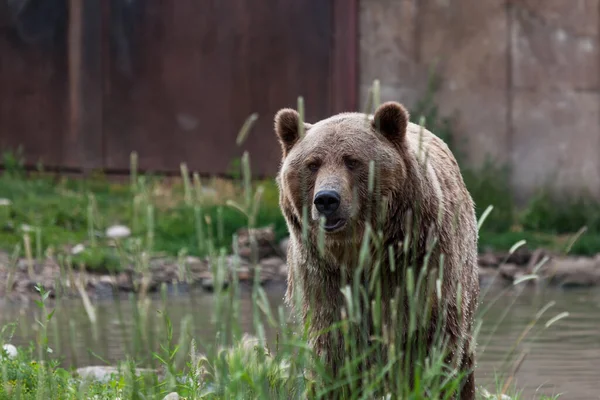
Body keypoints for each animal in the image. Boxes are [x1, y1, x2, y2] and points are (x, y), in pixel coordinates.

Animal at [274, 101, 480, 398]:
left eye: (352, 160)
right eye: (313, 164)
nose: (326, 199)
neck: (361, 252)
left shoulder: (420, 266)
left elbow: (433, 345)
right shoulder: (324, 278)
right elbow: (333, 348)